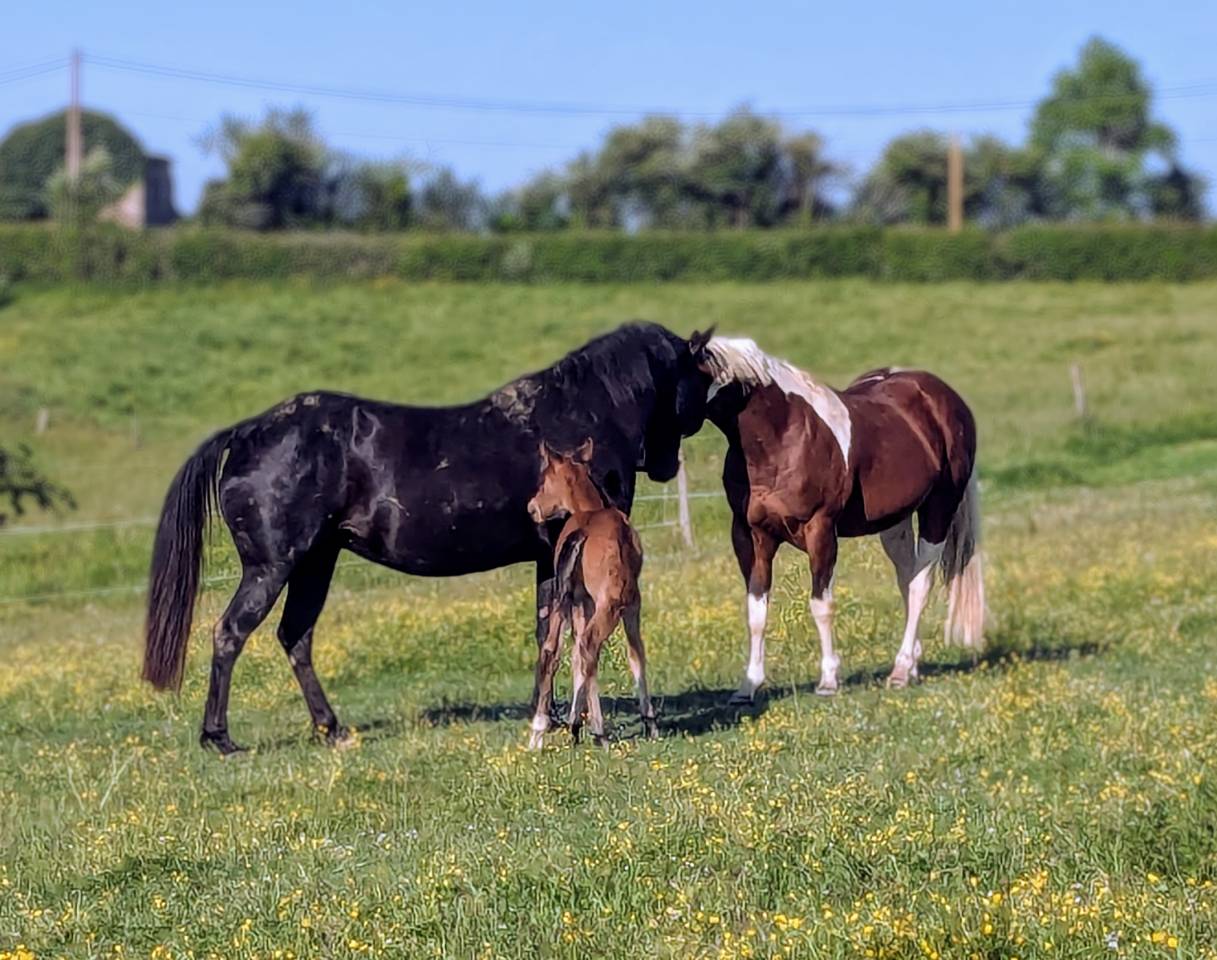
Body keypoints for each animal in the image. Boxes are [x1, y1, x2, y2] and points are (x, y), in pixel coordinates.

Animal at [525, 439, 655, 748]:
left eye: (543, 481)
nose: (531, 507)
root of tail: (581, 532)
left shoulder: (579, 602)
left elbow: (573, 657)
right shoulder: (632, 602)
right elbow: (636, 653)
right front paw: (650, 722)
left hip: (563, 601)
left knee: (554, 650)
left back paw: (542, 731)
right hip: (611, 603)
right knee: (590, 645)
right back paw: (595, 729)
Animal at [694, 336, 985, 703]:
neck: (782, 438)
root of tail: (945, 398)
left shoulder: (820, 531)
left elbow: (821, 605)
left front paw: (829, 680)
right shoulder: (751, 536)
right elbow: (756, 610)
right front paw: (748, 686)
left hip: (939, 510)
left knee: (920, 585)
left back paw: (900, 671)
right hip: (895, 523)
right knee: (907, 578)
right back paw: (912, 667)